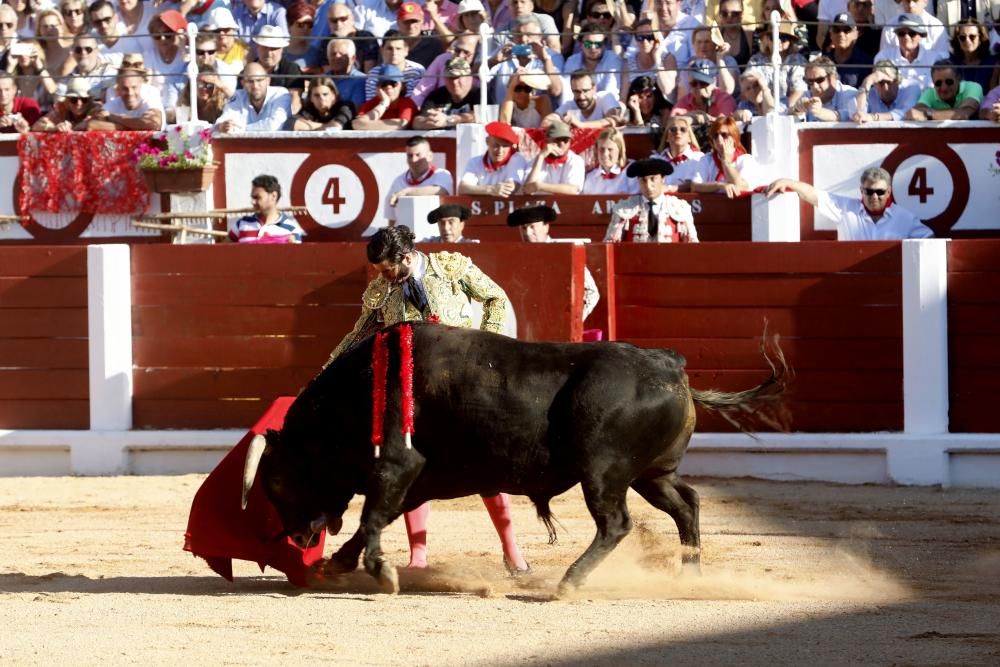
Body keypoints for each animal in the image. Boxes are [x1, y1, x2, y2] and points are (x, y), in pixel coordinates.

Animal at [242, 324, 788, 596]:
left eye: (278, 481)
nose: (294, 537)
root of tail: (671, 366)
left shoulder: (397, 464)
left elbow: (373, 515)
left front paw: (382, 573)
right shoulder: (415, 479)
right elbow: (377, 518)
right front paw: (338, 563)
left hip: (603, 471)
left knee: (615, 523)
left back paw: (568, 583)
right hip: (649, 474)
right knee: (686, 504)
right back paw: (690, 574)